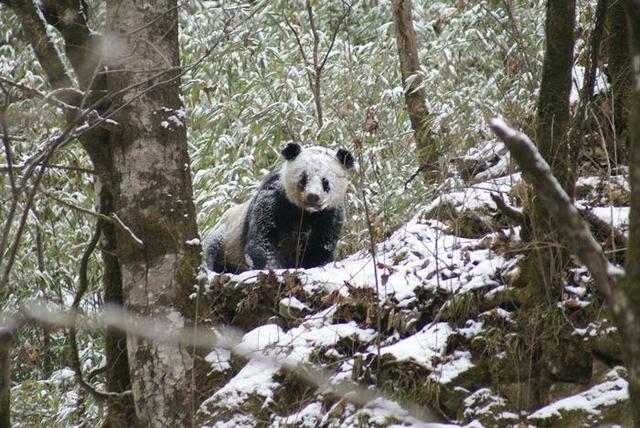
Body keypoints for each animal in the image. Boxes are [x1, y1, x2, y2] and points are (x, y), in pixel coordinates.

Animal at [204, 142, 356, 272]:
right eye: (303, 178)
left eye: (326, 182)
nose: (312, 197)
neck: (306, 212)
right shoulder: (274, 200)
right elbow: (263, 240)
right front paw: (273, 268)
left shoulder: (329, 215)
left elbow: (320, 248)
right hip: (224, 237)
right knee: (211, 250)